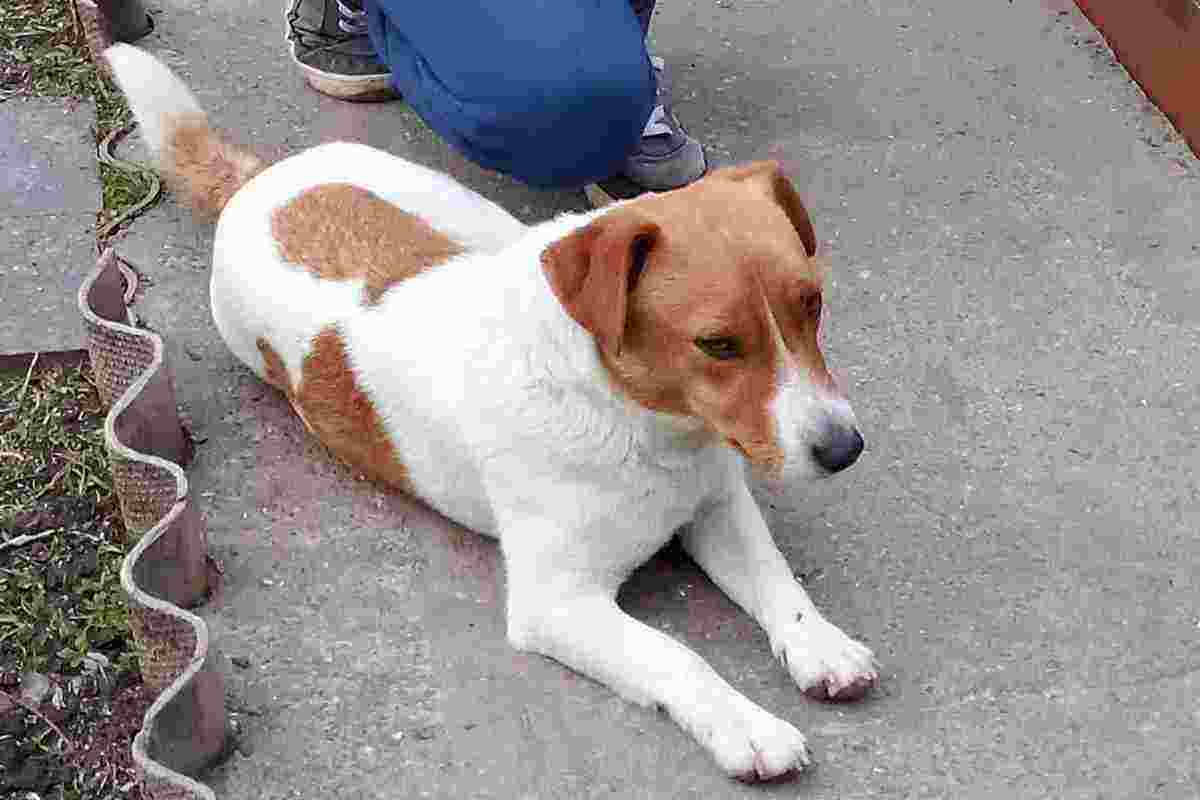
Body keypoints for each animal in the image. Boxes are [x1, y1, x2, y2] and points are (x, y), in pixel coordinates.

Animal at [105, 44, 878, 781]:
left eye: (811, 304)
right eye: (717, 345)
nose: (845, 451)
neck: (641, 421)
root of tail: (254, 182)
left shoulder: (718, 507)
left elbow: (778, 582)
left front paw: (820, 644)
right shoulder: (557, 603)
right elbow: (676, 656)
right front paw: (747, 727)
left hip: (486, 221)